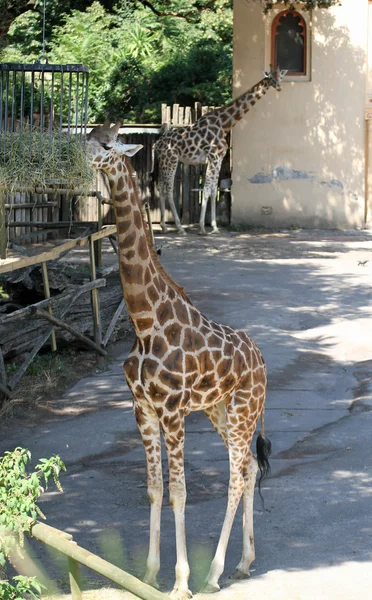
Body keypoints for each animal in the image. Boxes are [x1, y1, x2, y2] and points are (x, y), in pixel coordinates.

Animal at [88, 123, 274, 600]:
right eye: (89, 134)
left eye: (106, 143)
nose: (79, 154)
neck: (145, 322)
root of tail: (262, 360)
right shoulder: (142, 408)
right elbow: (155, 489)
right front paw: (150, 574)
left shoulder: (172, 412)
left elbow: (180, 492)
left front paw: (181, 581)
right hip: (220, 410)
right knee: (248, 467)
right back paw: (244, 563)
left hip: (243, 410)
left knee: (236, 476)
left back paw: (213, 574)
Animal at [155, 65, 286, 234]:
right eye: (270, 77)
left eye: (281, 77)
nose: (279, 87)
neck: (225, 124)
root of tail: (158, 144)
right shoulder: (213, 156)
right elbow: (206, 189)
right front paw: (203, 227)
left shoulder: (218, 158)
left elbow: (212, 189)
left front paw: (215, 227)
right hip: (171, 160)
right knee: (169, 190)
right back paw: (180, 228)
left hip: (162, 162)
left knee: (160, 187)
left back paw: (164, 226)